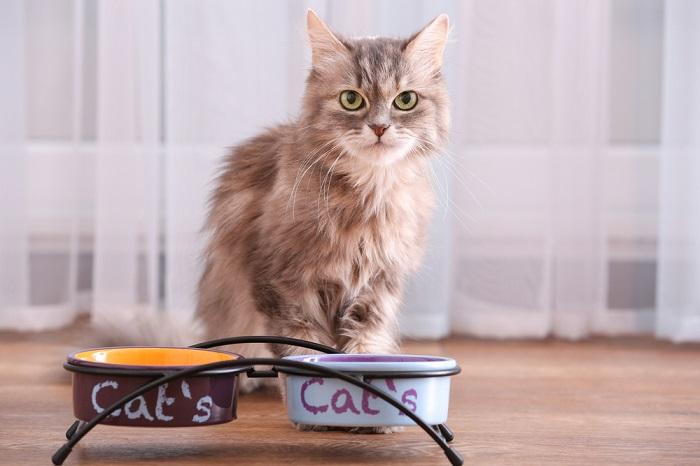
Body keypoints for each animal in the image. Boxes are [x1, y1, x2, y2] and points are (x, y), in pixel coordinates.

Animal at [196, 9, 448, 392]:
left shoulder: (378, 285)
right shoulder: (281, 283)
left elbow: (364, 344)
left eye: (405, 100)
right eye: (351, 99)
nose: (379, 127)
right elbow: (299, 346)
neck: (367, 199)